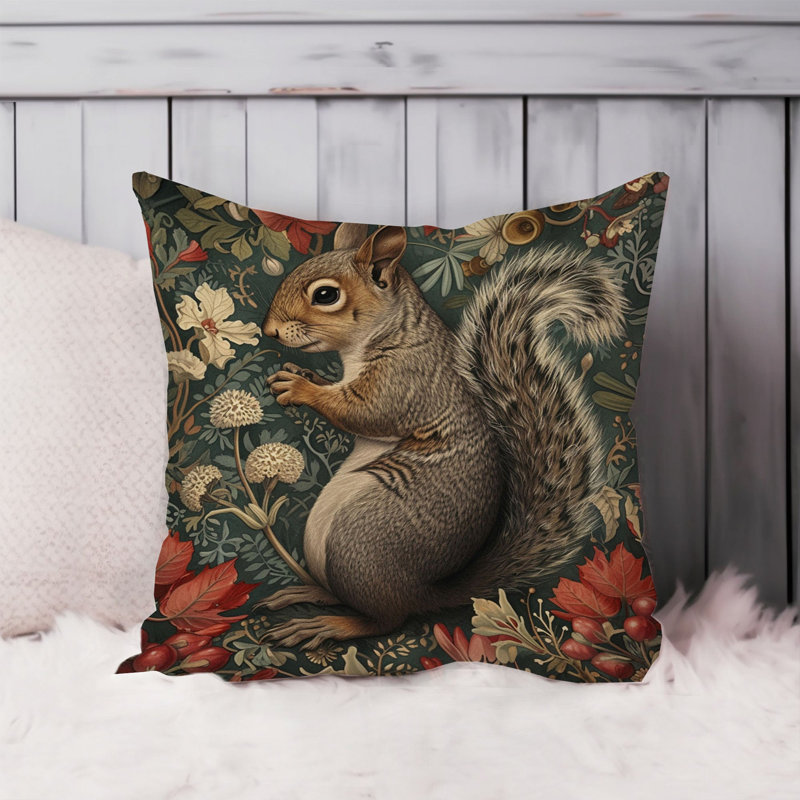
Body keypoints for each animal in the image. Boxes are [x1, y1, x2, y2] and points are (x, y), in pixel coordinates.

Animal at [258, 222, 627, 649]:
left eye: (325, 295)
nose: (268, 331)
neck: (392, 330)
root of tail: (422, 592)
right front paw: (305, 375)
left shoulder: (408, 379)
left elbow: (366, 413)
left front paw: (301, 389)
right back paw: (310, 593)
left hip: (359, 540)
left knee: (384, 619)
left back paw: (328, 624)